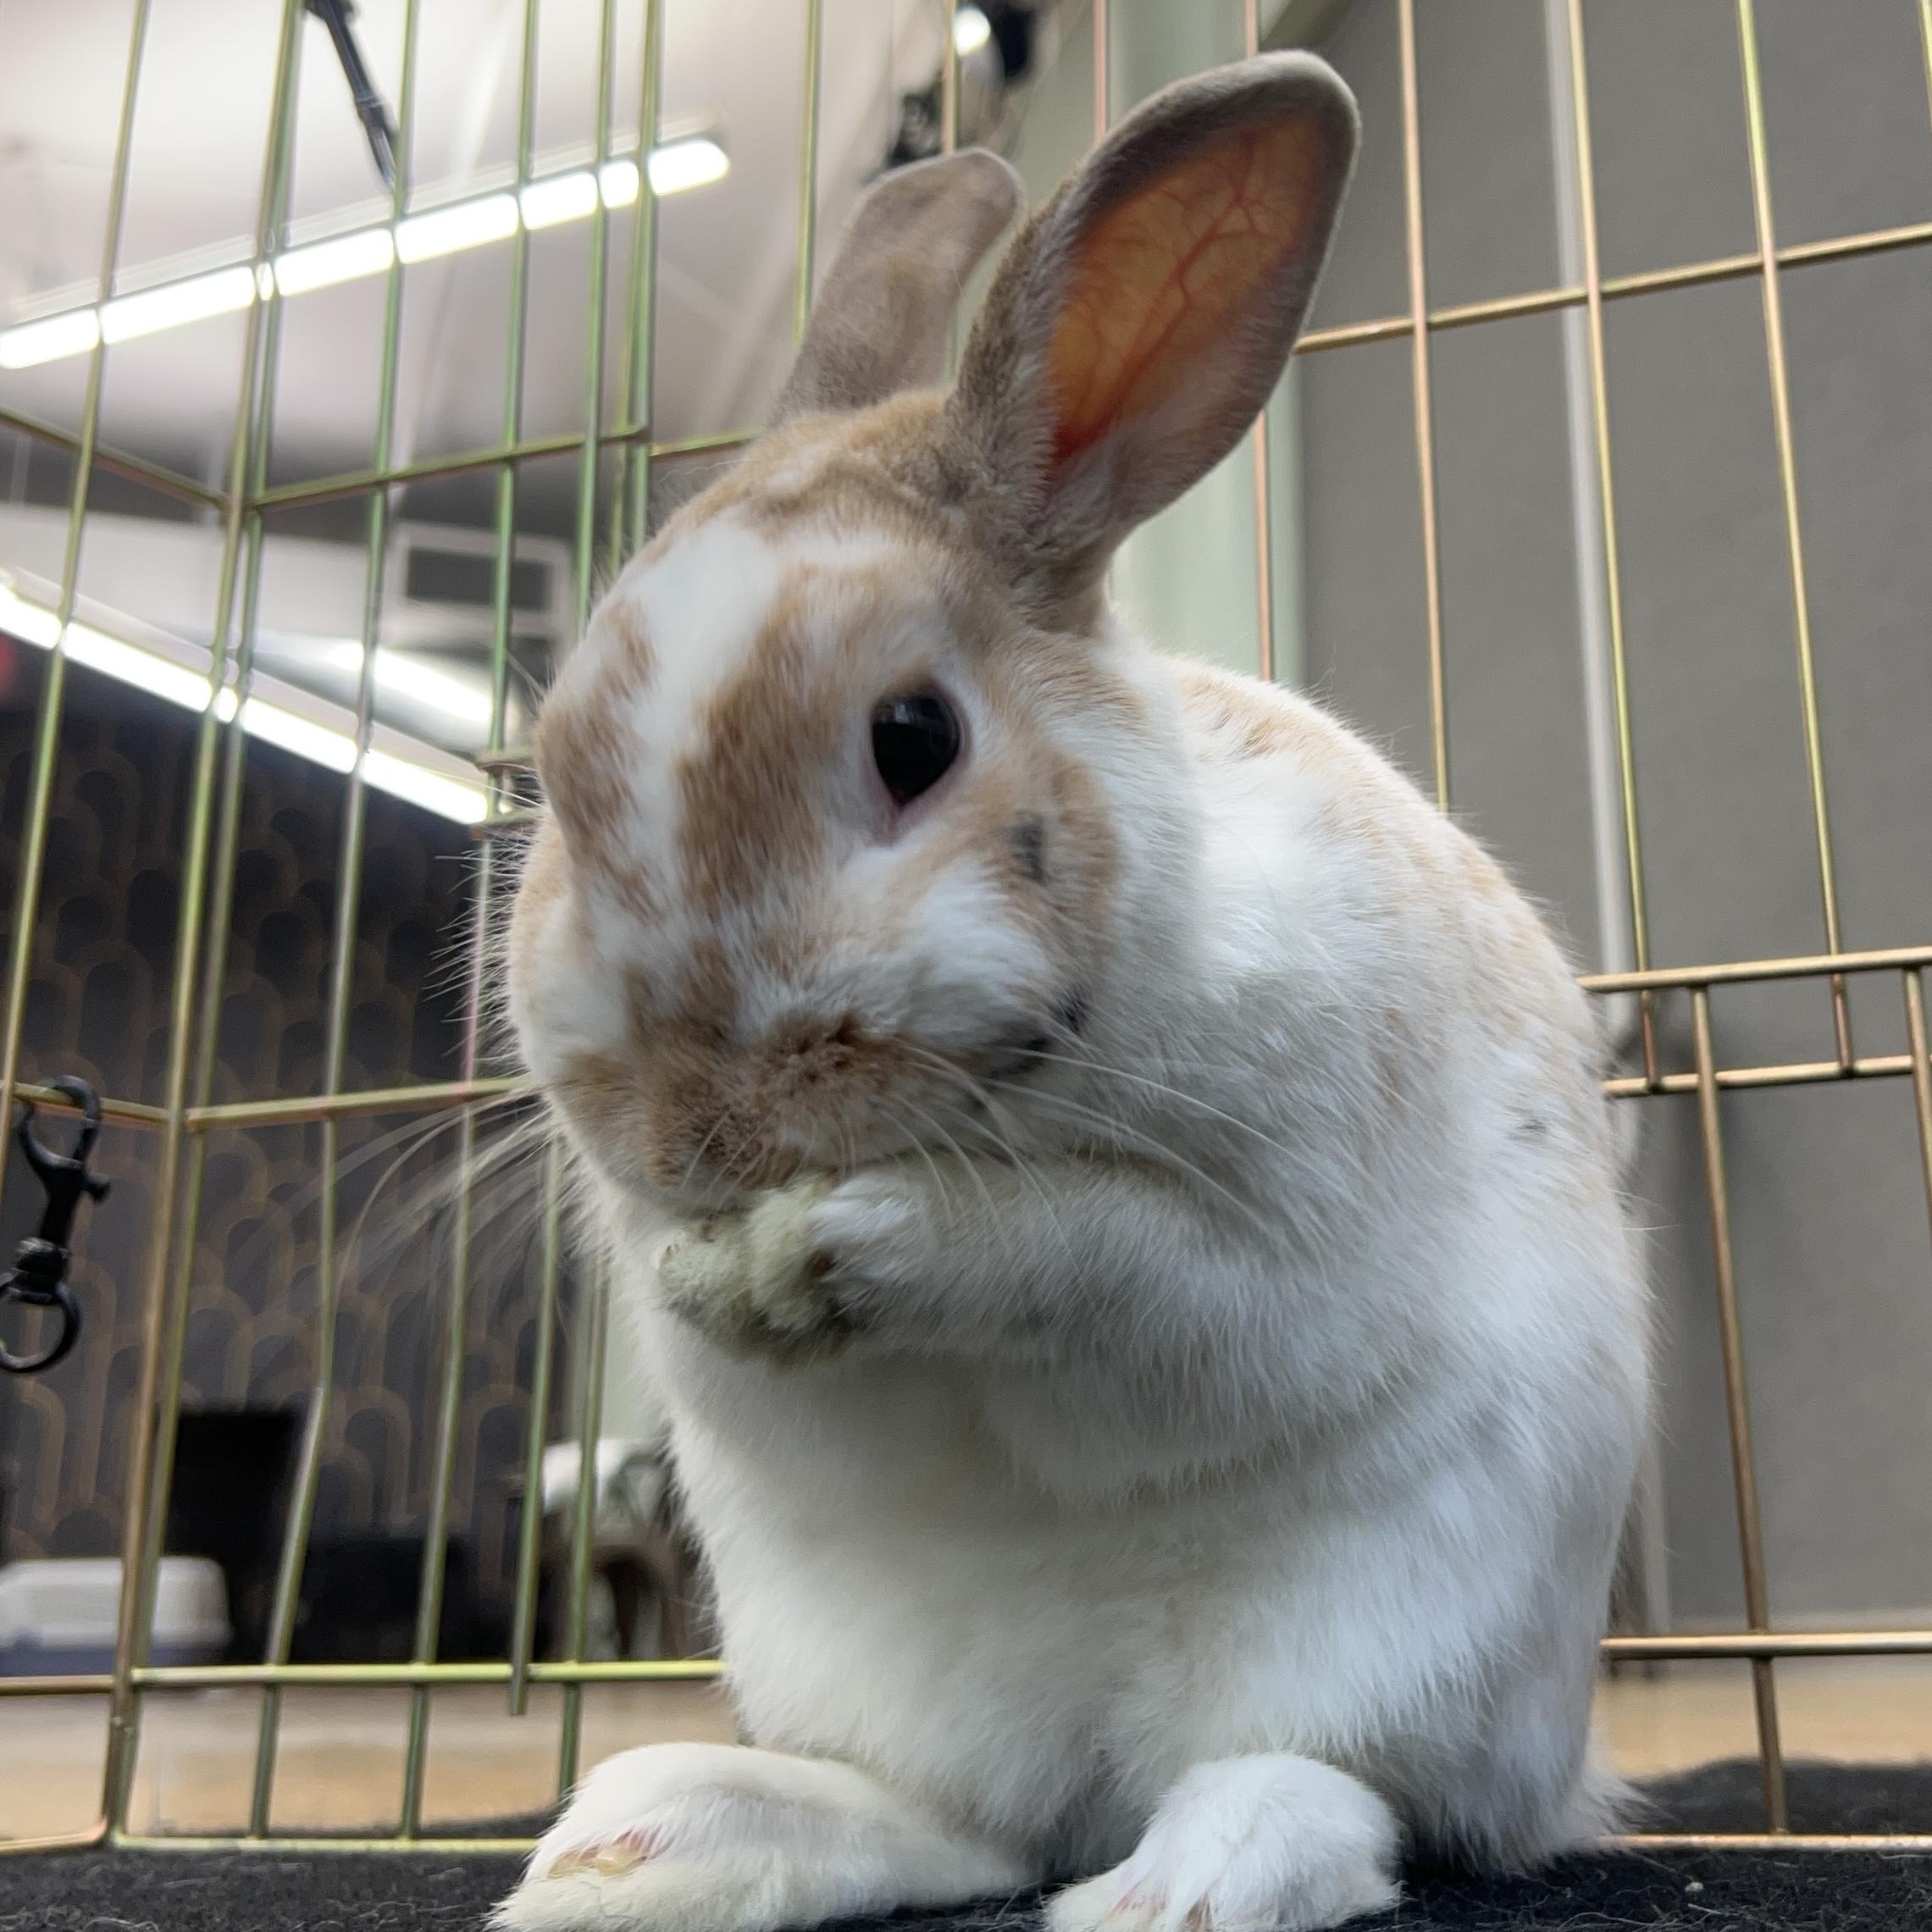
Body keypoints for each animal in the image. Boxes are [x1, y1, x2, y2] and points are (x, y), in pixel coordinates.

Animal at [496, 49, 1649, 1932]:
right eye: (549, 780)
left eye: (913, 739)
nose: (697, 1135)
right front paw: (718, 1278)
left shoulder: (1255, 1258)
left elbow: (1090, 1262)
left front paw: (855, 1248)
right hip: (866, 1669)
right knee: (959, 1827)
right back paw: (645, 1844)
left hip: (1410, 1640)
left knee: (1343, 1799)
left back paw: (1178, 1886)